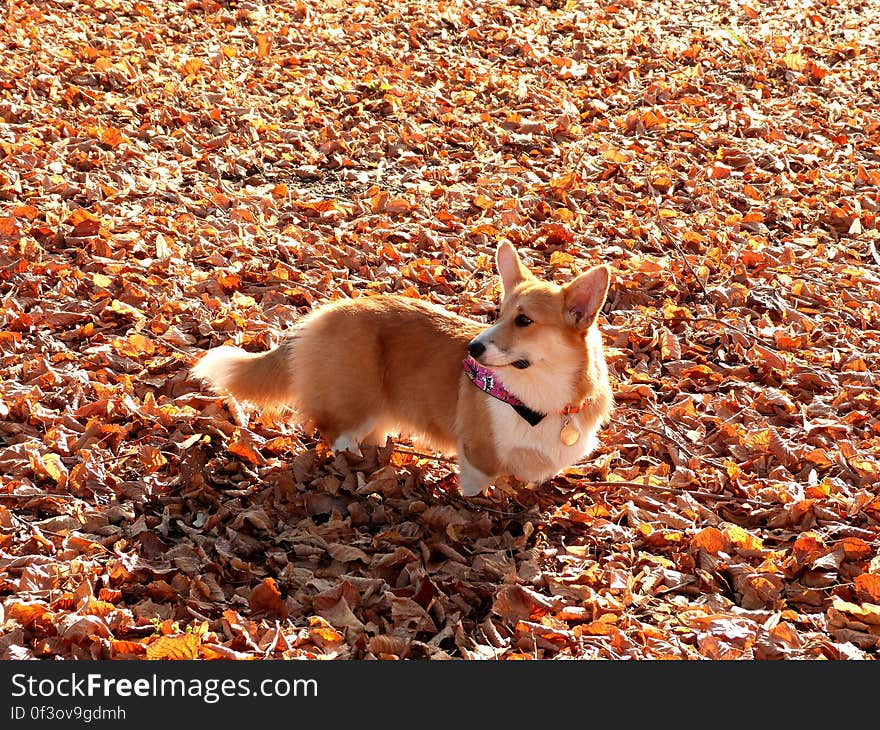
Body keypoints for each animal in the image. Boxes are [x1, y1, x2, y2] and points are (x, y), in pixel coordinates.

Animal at [192, 242, 612, 498]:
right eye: (500, 313)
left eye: (524, 320)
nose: (472, 349)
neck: (539, 400)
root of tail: (321, 314)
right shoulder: (478, 458)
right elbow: (477, 490)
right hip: (356, 404)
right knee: (337, 434)